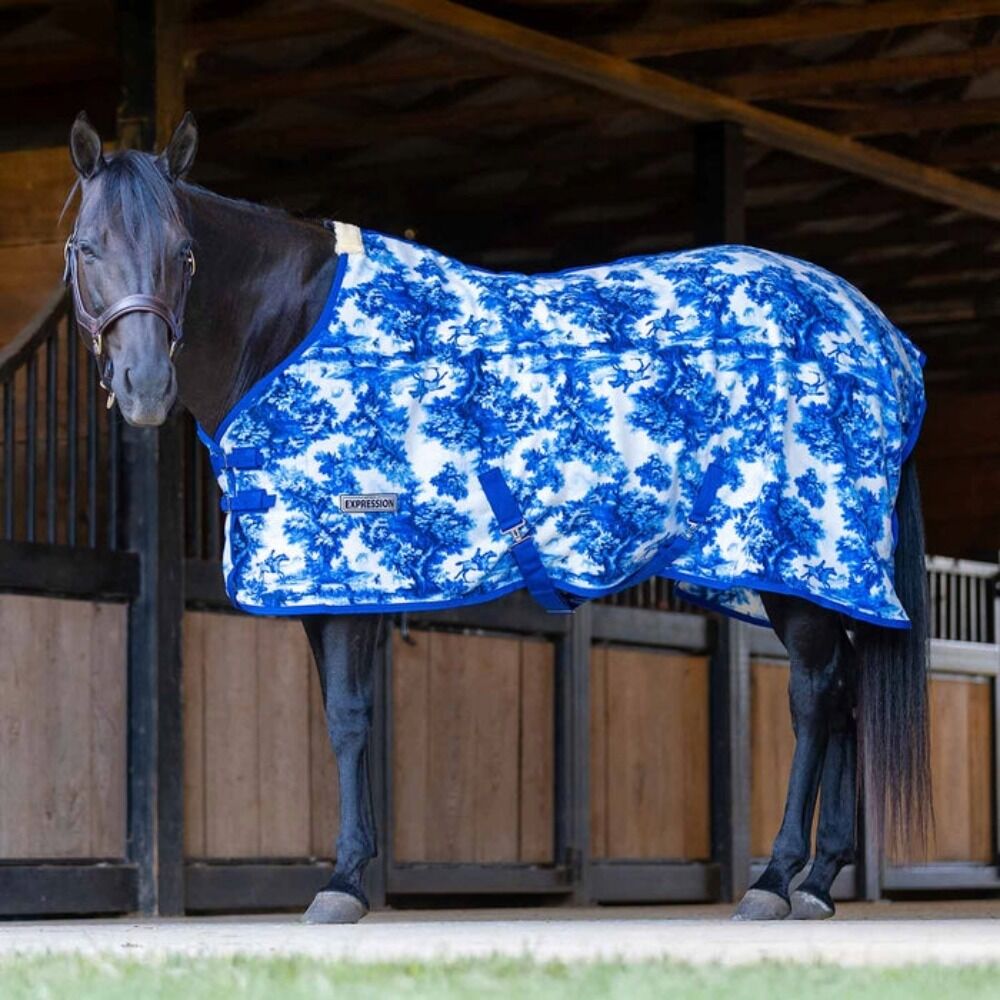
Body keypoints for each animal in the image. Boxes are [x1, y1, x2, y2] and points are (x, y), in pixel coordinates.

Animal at [64, 111, 929, 923]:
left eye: (185, 252)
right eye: (84, 247)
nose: (145, 386)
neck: (293, 326)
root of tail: (883, 339)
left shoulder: (354, 577)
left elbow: (347, 718)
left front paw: (343, 884)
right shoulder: (325, 587)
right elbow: (340, 716)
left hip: (793, 562)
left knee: (814, 698)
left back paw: (774, 880)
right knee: (845, 692)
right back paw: (818, 882)